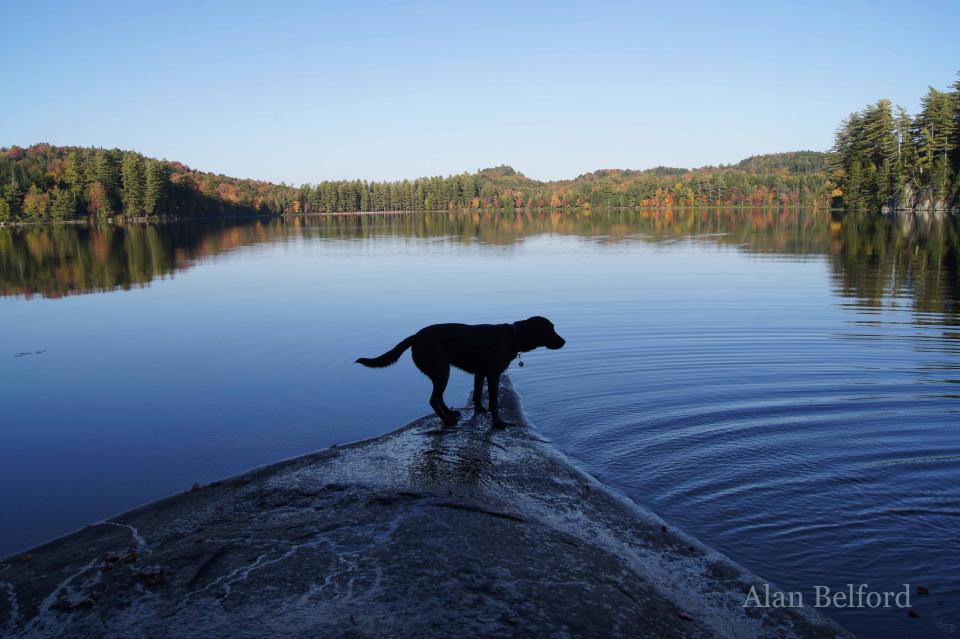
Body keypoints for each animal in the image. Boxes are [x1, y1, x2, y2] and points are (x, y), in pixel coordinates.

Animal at [356, 316, 568, 428]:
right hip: (442, 370)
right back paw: (447, 420)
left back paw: (451, 414)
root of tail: (415, 336)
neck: (513, 336)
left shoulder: (480, 373)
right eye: (550, 329)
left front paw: (480, 410)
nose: (564, 341)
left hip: (441, 371)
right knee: (433, 399)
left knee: (438, 398)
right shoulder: (493, 374)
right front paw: (498, 422)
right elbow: (493, 401)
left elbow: (478, 395)